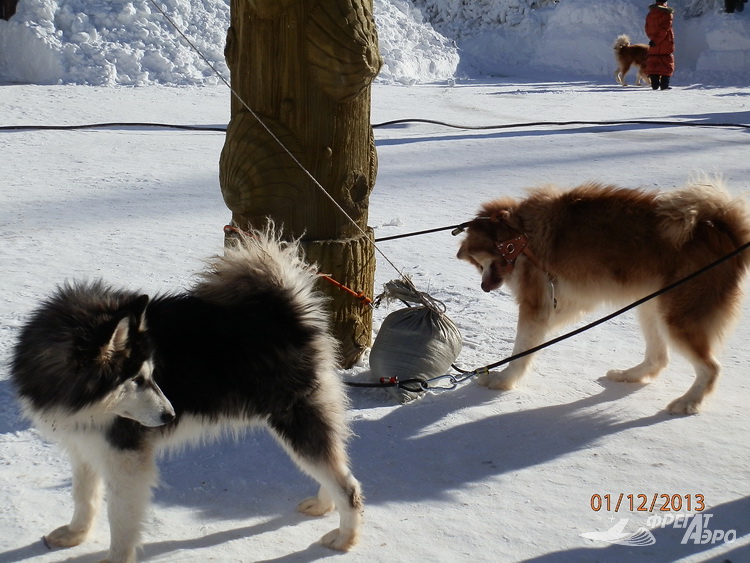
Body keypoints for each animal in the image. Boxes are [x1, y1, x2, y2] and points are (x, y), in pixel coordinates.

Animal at [458, 178, 750, 416]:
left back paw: (688, 402)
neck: (521, 235)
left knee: (711, 368)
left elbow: (521, 351)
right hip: (651, 304)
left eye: (479, 262)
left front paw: (502, 380)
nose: (483, 287)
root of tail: (723, 230)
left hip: (677, 317)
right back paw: (629, 375)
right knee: (658, 358)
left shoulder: (535, 305)